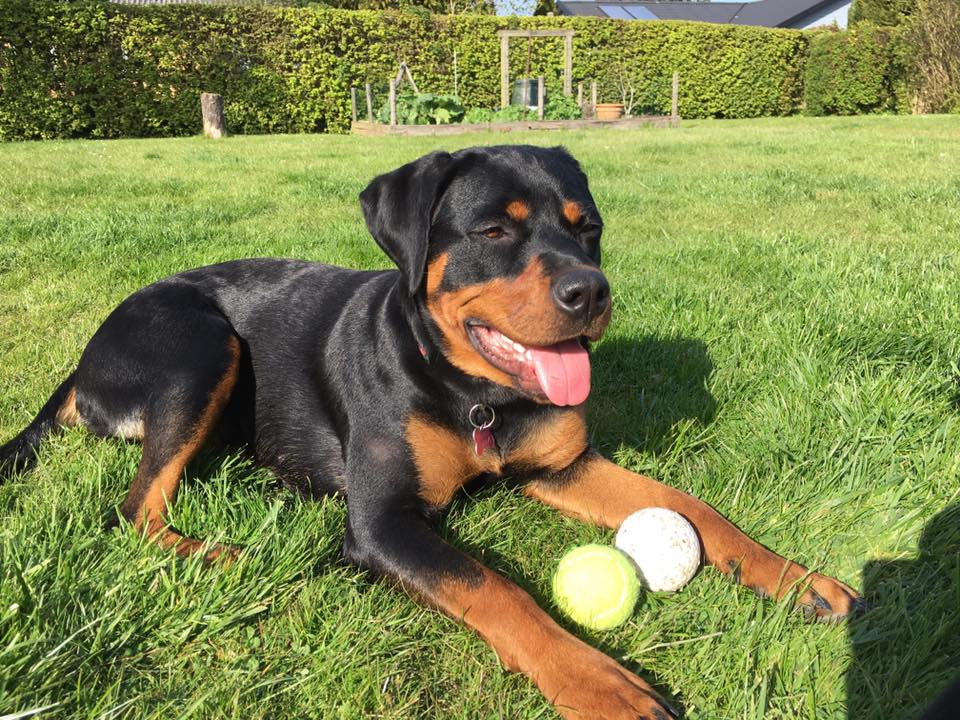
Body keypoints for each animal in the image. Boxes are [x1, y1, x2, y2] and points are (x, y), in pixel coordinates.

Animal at [0, 146, 864, 720]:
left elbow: (693, 507)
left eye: (588, 227)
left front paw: (798, 579)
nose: (592, 292)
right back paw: (222, 554)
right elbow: (498, 590)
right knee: (135, 508)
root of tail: (83, 360)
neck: (477, 395)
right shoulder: (383, 523)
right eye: (493, 232)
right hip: (198, 344)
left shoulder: (563, 463)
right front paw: (603, 684)